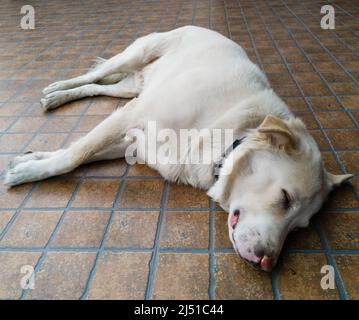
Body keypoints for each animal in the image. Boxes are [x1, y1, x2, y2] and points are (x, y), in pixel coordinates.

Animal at [4, 26, 352, 272]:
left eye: (299, 228)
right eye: (284, 198)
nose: (268, 263)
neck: (230, 132)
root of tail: (203, 28)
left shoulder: (134, 140)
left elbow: (78, 152)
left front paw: (33, 159)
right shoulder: (133, 116)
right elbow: (74, 155)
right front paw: (30, 171)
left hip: (129, 88)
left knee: (98, 86)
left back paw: (59, 97)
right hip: (135, 57)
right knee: (94, 74)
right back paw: (57, 89)